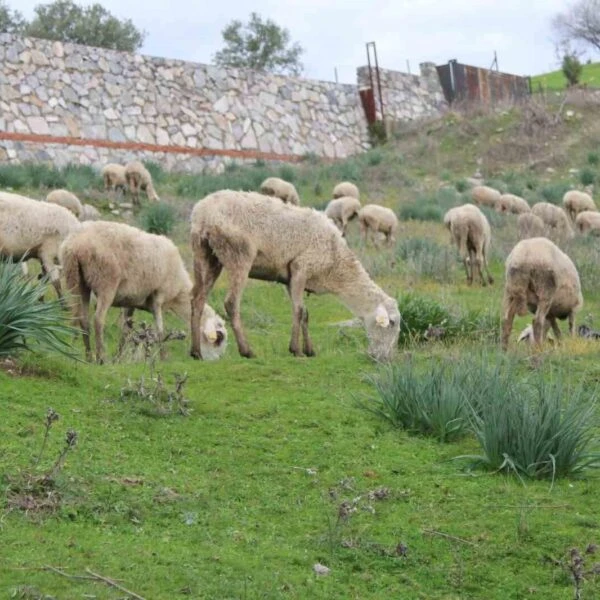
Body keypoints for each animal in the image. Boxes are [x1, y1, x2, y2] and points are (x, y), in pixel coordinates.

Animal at [59, 219, 227, 364]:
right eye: (219, 340)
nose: (215, 362)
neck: (179, 291)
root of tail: (77, 243)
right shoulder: (159, 295)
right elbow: (160, 331)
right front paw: (164, 359)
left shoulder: (131, 300)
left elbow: (125, 331)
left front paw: (118, 358)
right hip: (106, 282)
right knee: (98, 319)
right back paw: (101, 358)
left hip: (76, 280)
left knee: (83, 319)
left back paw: (88, 357)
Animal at [190, 191, 400, 360]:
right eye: (391, 323)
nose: (386, 358)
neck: (336, 264)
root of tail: (202, 214)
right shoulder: (301, 268)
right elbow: (298, 311)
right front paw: (296, 350)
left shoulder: (289, 278)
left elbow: (305, 313)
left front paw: (309, 350)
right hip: (239, 255)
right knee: (231, 302)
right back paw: (246, 350)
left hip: (206, 256)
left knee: (197, 300)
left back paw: (196, 352)